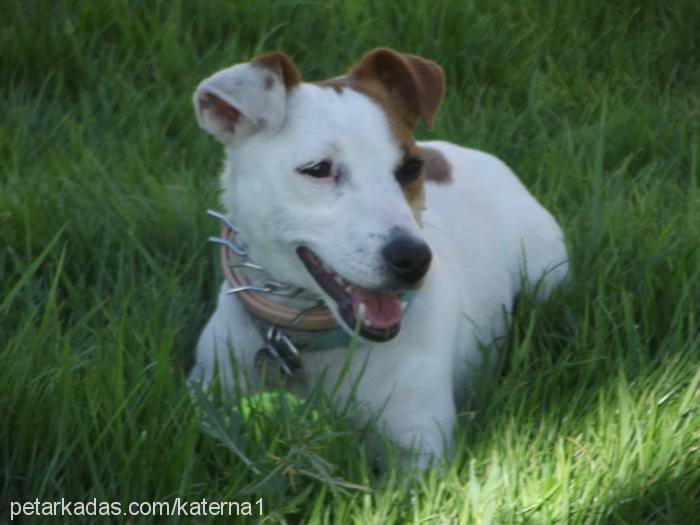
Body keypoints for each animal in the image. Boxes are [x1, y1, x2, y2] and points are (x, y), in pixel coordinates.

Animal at [187, 48, 568, 466]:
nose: (414, 259)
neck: (312, 342)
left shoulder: (422, 451)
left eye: (411, 167)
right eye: (317, 169)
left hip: (546, 272)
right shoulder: (206, 402)